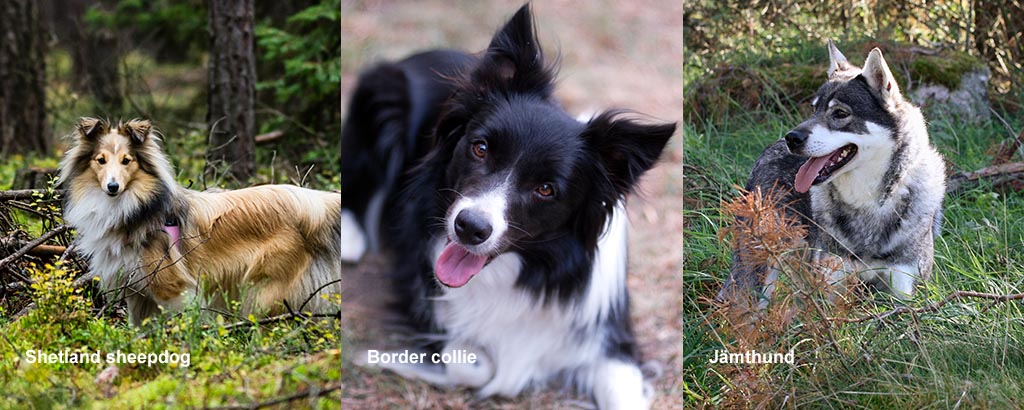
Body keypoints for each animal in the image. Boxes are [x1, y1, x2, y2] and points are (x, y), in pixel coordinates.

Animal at [58, 117, 339, 323]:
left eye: (127, 161)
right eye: (101, 160)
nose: (113, 187)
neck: (128, 208)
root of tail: (313, 203)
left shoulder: (173, 287)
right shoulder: (138, 295)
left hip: (263, 291)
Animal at [339, 4, 675, 407]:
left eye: (546, 189)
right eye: (480, 148)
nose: (469, 227)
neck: (527, 270)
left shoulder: (611, 334)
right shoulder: (421, 296)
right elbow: (475, 363)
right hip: (384, 95)